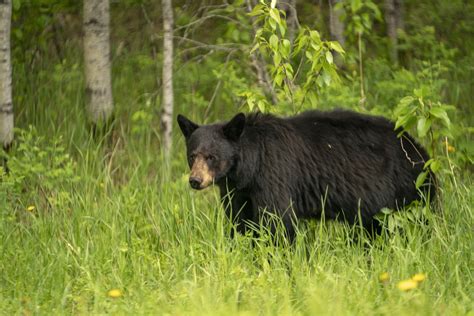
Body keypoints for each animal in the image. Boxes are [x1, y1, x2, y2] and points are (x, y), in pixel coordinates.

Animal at [177, 110, 434, 238]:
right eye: (192, 155)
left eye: (211, 156)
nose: (195, 180)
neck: (250, 167)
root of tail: (419, 150)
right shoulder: (238, 192)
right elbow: (241, 222)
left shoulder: (274, 175)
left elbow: (279, 222)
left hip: (407, 190)